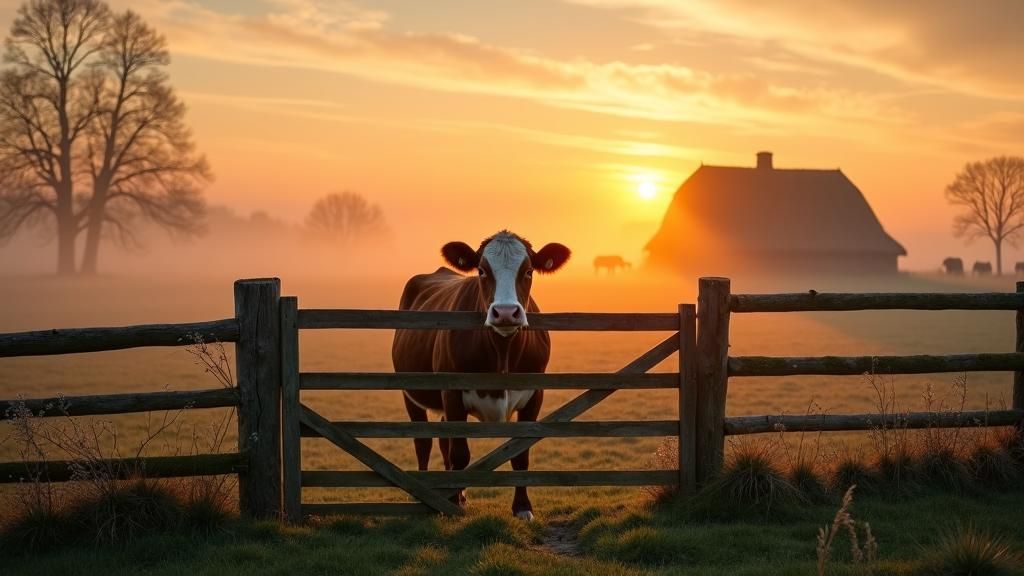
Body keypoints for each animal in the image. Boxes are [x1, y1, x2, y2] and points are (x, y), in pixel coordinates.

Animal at [392, 230, 571, 520]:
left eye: (529, 271)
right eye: (482, 271)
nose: (506, 312)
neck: (502, 354)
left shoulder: (535, 394)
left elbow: (520, 455)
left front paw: (522, 507)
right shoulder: (451, 392)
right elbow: (459, 453)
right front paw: (452, 503)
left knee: (441, 441)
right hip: (411, 392)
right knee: (424, 441)